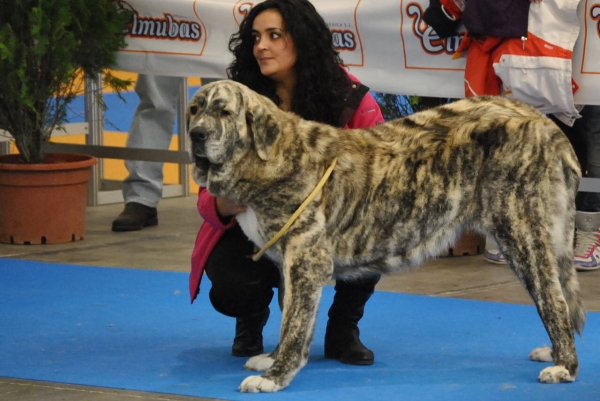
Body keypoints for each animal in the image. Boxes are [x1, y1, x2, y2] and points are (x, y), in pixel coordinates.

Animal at [188, 79, 584, 392]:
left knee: (554, 301)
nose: (195, 135)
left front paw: (275, 376)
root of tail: (541, 120)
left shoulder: (305, 262)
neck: (270, 156)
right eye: (194, 110)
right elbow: (289, 319)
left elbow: (295, 325)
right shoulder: (290, 262)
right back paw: (554, 353)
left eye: (223, 112)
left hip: (521, 233)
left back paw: (565, 366)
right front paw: (270, 359)